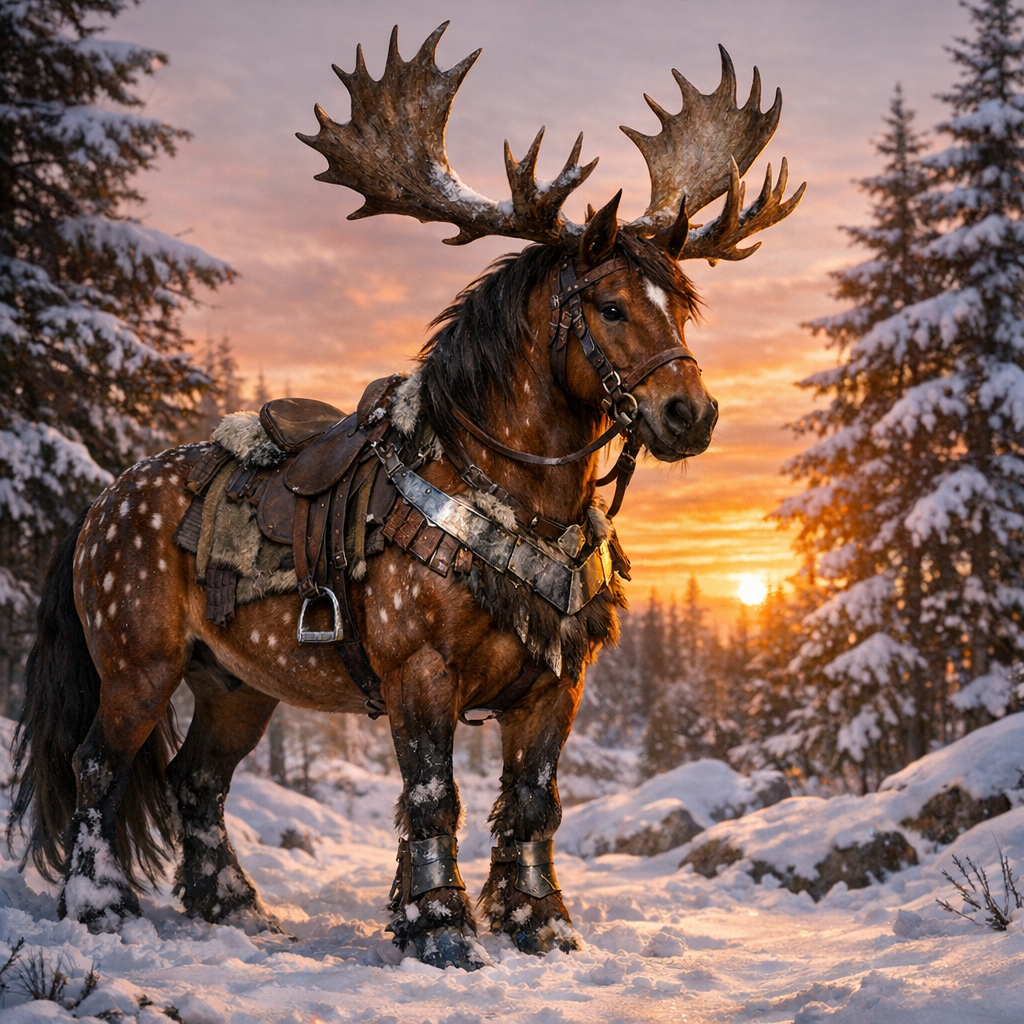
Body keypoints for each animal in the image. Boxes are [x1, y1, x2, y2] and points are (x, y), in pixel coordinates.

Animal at [8, 25, 802, 970]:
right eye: (609, 305)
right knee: (100, 766)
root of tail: (95, 508)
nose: (692, 414)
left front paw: (539, 923)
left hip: (236, 683)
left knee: (194, 780)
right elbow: (434, 796)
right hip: (138, 665)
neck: (518, 498)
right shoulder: (418, 669)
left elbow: (532, 802)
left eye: (680, 304)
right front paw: (440, 927)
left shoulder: (556, 684)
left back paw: (233, 906)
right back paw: (97, 907)